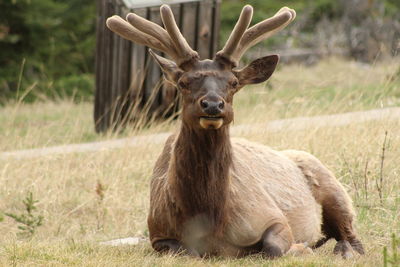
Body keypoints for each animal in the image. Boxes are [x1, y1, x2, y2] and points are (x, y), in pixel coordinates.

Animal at [106, 4, 366, 260]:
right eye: (183, 82)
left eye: (233, 83)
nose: (212, 105)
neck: (209, 219)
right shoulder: (157, 233)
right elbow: (187, 252)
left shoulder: (273, 216)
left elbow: (272, 248)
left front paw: (300, 247)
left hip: (335, 189)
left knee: (352, 236)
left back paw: (343, 250)